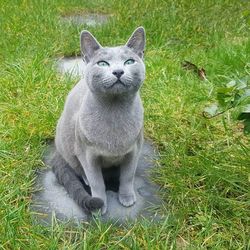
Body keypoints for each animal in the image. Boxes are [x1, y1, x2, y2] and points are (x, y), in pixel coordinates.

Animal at [52, 27, 146, 214]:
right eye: (102, 64)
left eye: (129, 61)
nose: (118, 72)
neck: (115, 112)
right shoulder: (87, 154)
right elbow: (97, 182)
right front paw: (100, 205)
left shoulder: (135, 150)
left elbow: (128, 176)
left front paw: (127, 198)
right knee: (78, 169)